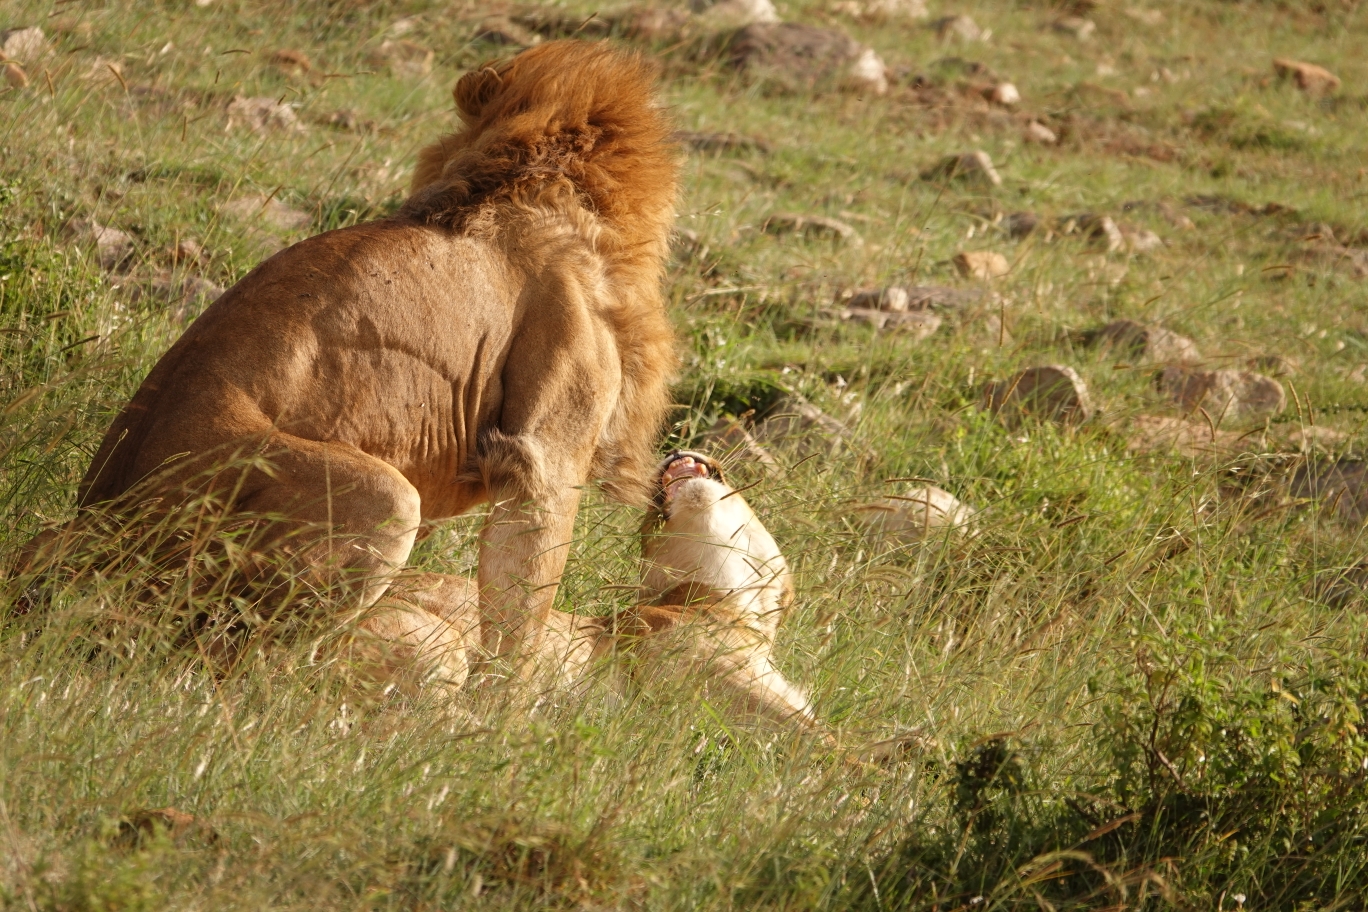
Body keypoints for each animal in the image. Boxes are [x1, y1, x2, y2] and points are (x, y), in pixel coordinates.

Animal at [38, 42, 684, 680]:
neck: (519, 182)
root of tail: (99, 520)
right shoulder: (544, 455)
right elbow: (521, 614)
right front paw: (503, 707)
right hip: (382, 499)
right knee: (218, 659)